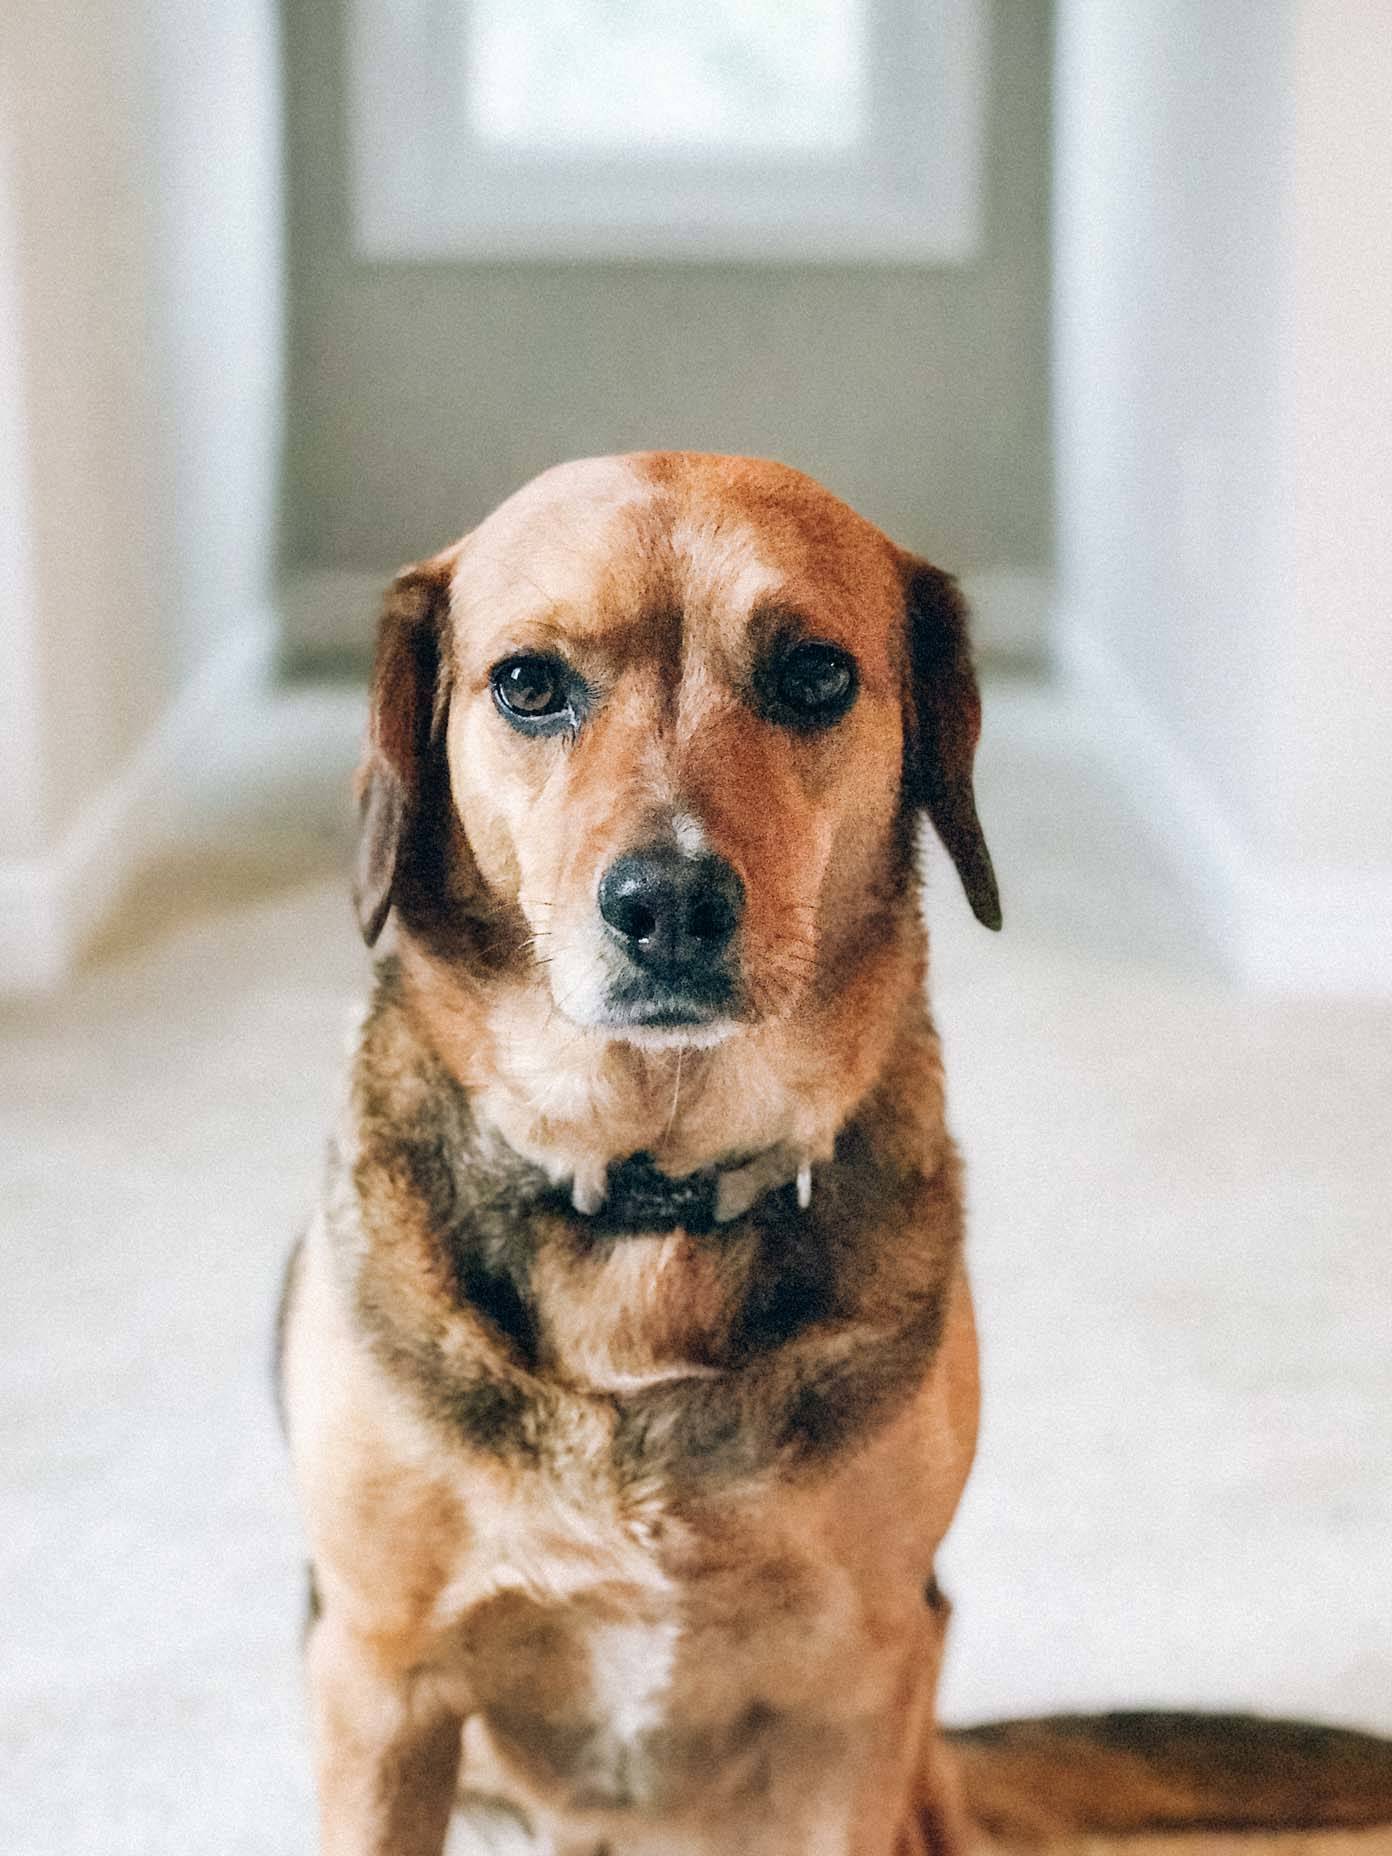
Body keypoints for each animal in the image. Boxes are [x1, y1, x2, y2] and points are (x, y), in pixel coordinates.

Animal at [280, 452, 1002, 1856]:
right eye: (529, 683)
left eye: (815, 675)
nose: (669, 902)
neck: (648, 1192)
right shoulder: (378, 1679)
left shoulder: (861, 1685)